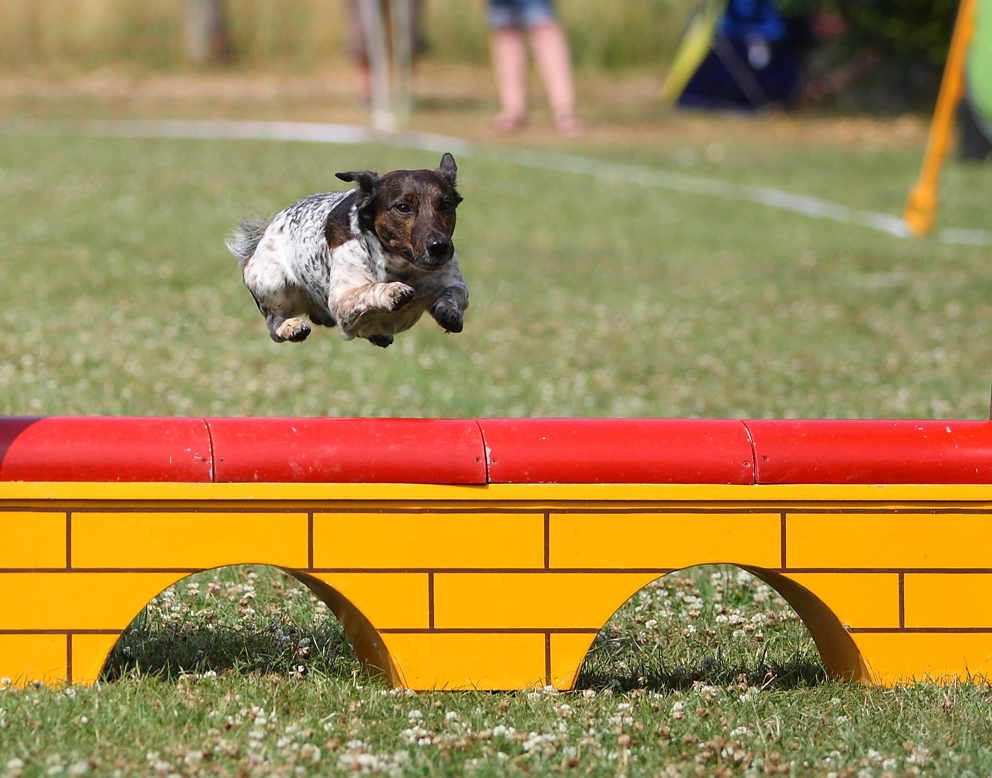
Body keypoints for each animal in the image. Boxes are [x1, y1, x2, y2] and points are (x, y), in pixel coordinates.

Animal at [229, 153, 468, 348]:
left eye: (445, 204)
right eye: (403, 207)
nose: (439, 246)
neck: (403, 268)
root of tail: (264, 233)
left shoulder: (454, 285)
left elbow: (452, 295)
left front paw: (448, 312)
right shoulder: (341, 300)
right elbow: (369, 289)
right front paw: (392, 290)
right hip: (271, 281)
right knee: (273, 324)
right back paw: (291, 326)